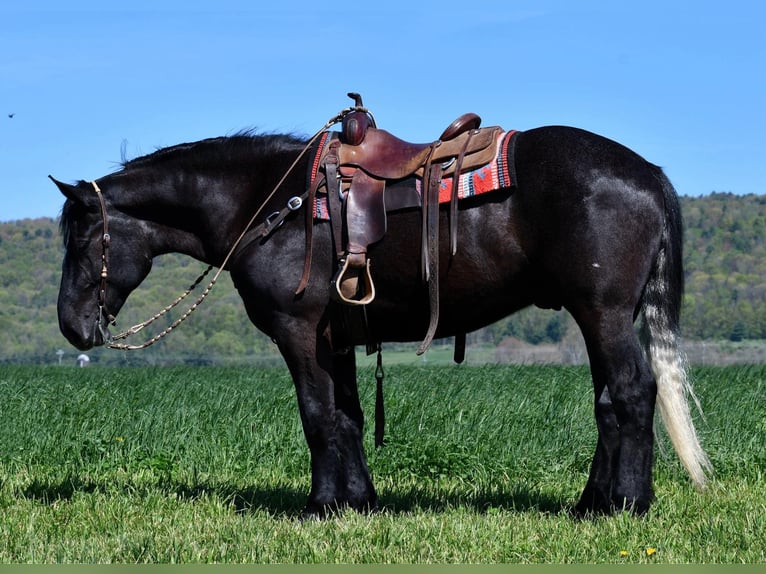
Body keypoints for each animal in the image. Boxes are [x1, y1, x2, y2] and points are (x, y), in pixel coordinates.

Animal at [54, 108, 712, 516]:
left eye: (83, 238)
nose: (72, 326)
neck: (274, 203)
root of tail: (647, 174)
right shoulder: (337, 337)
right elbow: (347, 416)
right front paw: (358, 502)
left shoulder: (299, 333)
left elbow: (317, 415)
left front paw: (320, 506)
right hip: (598, 316)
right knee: (608, 401)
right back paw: (589, 503)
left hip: (603, 312)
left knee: (631, 392)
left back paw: (625, 504)